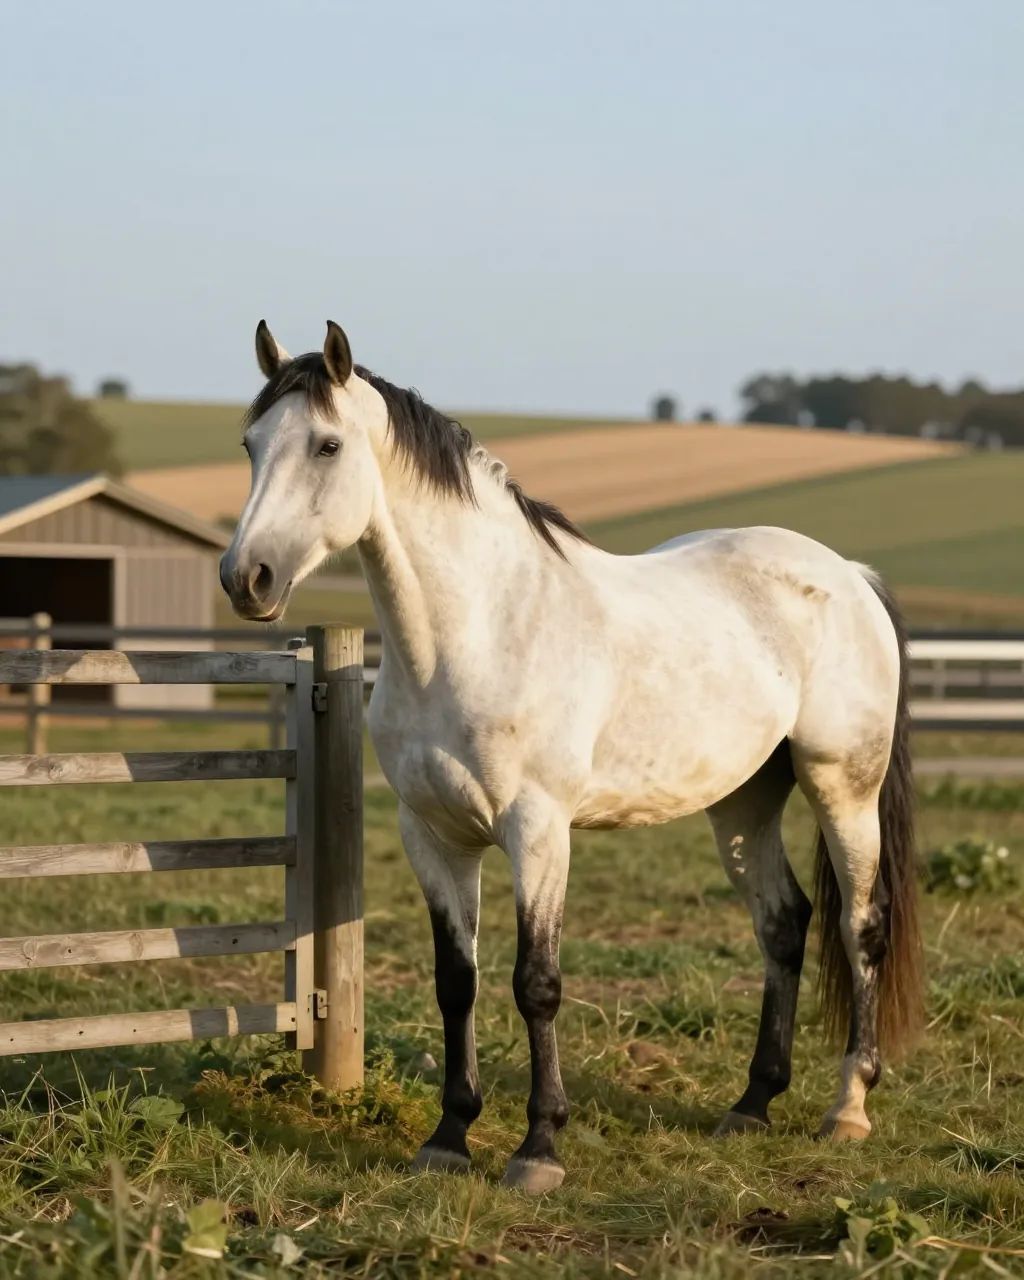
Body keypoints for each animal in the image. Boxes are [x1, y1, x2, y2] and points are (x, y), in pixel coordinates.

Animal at [221, 319, 924, 1194]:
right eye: (251, 444)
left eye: (326, 444)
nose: (246, 578)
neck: (477, 633)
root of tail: (849, 575)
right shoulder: (434, 836)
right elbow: (457, 982)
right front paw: (449, 1137)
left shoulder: (538, 831)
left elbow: (537, 983)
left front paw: (539, 1149)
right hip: (744, 800)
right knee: (784, 923)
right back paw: (753, 1104)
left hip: (842, 788)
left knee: (862, 925)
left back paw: (848, 1107)